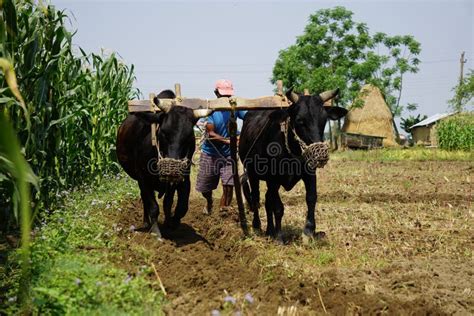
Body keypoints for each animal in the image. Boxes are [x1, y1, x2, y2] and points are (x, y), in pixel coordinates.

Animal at [115, 89, 212, 237]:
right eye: (163, 132)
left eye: (189, 136)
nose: (172, 170)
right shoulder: (143, 179)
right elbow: (153, 206)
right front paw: (156, 232)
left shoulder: (183, 179)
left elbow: (180, 206)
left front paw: (172, 224)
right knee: (144, 199)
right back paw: (146, 223)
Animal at [239, 89, 346, 242]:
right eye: (300, 120)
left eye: (324, 119)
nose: (320, 155)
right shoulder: (273, 179)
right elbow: (278, 207)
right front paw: (278, 236)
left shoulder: (309, 174)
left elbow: (311, 198)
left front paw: (309, 231)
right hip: (253, 175)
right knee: (256, 198)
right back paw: (257, 226)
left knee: (267, 200)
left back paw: (269, 230)